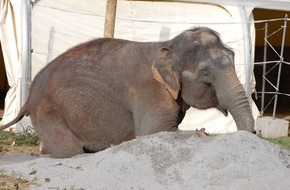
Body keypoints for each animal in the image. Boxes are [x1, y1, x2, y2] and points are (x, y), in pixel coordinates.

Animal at [0, 26, 254, 157]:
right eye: (205, 73)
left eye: (232, 57)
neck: (167, 46)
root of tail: (30, 95)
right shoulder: (148, 91)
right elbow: (154, 132)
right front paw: (202, 132)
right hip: (48, 113)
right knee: (71, 151)